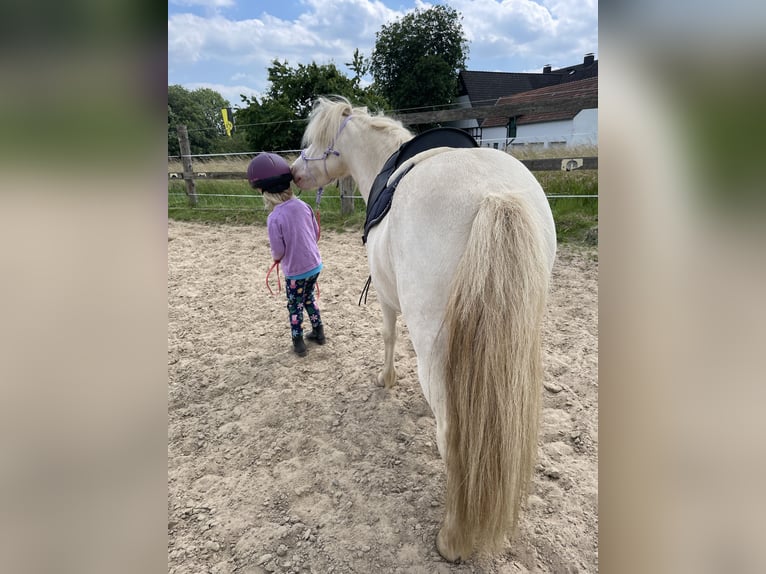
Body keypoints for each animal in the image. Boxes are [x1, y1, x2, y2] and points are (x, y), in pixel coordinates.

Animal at [292, 98, 556, 564]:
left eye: (317, 142)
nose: (293, 171)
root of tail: (494, 195)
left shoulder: (385, 298)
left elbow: (387, 336)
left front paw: (386, 380)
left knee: (452, 433)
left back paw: (452, 538)